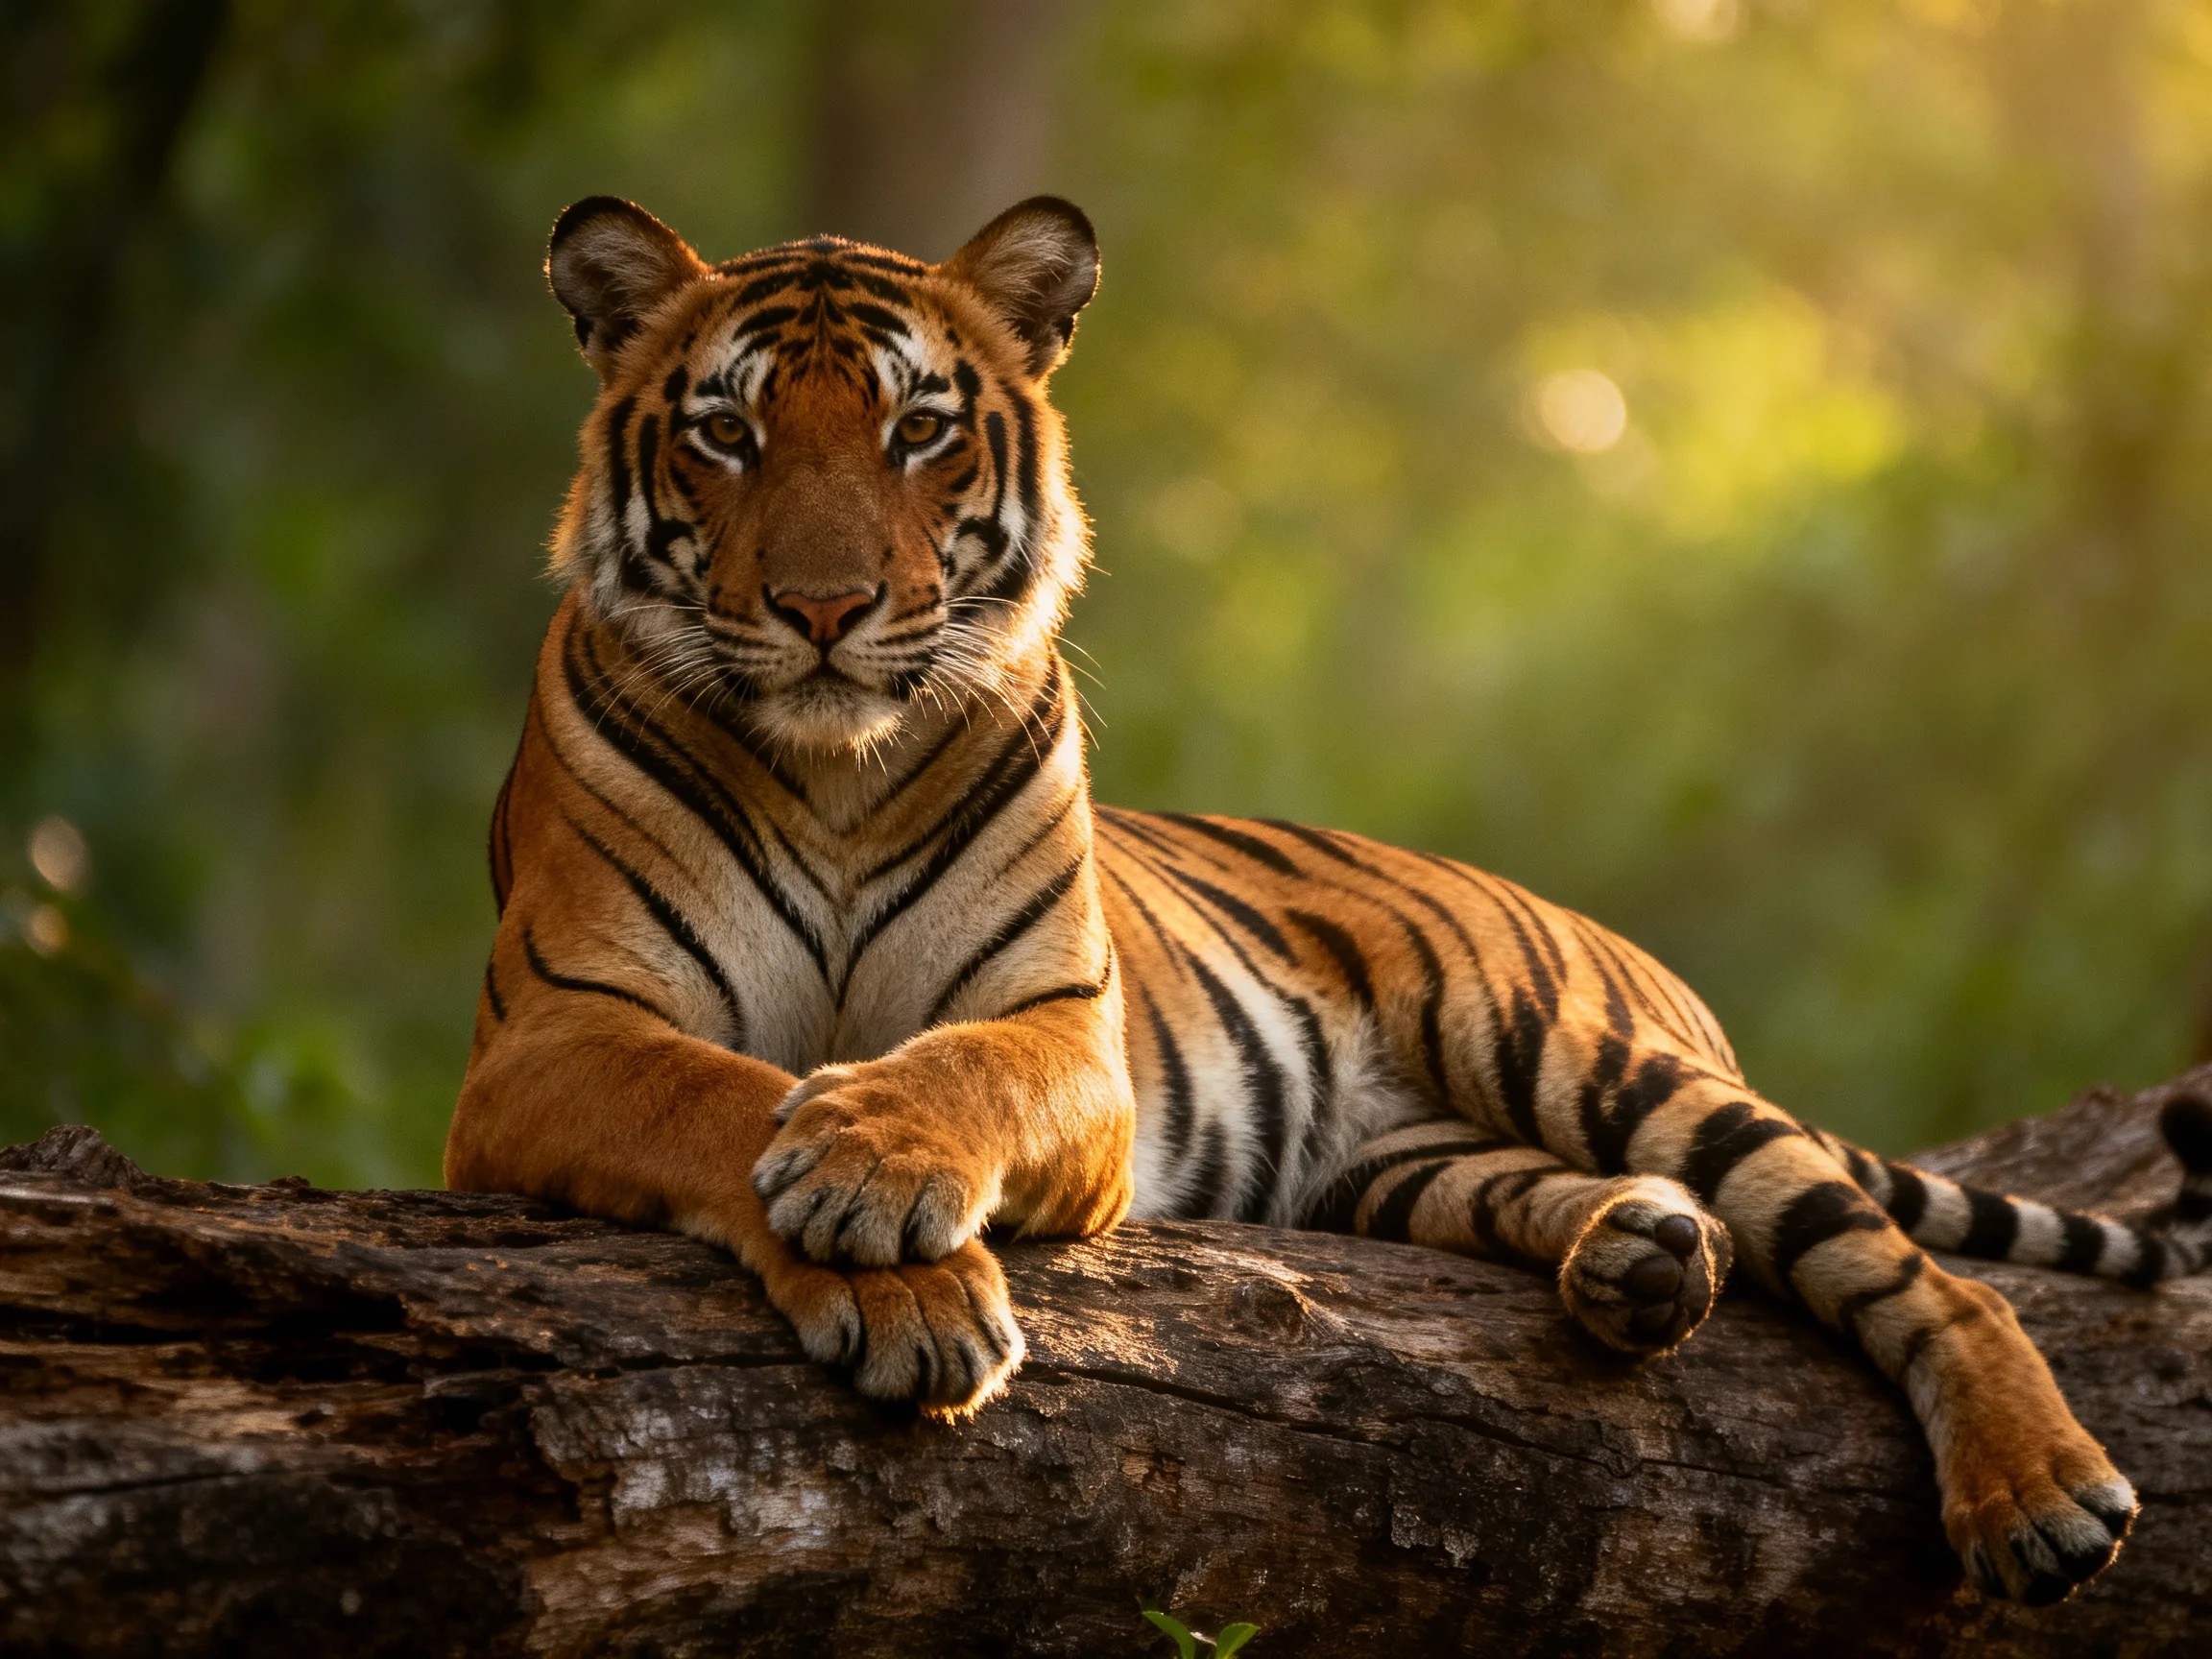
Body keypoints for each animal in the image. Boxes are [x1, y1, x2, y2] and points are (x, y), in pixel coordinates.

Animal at [445, 192, 2212, 1607]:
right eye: (726, 434)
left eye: (918, 432)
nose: (824, 609)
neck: (831, 768)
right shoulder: (552, 1035)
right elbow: (715, 1092)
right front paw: (908, 1282)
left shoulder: (1059, 1033)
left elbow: (945, 1074)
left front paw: (872, 1175)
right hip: (1400, 1164)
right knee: (1579, 1207)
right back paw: (1639, 1262)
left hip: (1572, 1048)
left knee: (1920, 1270)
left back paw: (2042, 1495)